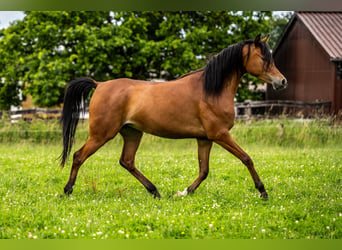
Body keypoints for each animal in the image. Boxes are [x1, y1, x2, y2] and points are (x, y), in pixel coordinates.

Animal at [60, 34, 288, 199]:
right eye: (263, 58)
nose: (282, 81)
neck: (211, 90)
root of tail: (99, 84)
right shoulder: (220, 134)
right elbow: (246, 158)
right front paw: (263, 191)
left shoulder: (205, 139)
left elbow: (204, 170)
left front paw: (184, 192)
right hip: (102, 134)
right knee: (78, 156)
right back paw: (67, 191)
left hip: (132, 133)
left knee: (127, 161)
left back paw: (155, 191)